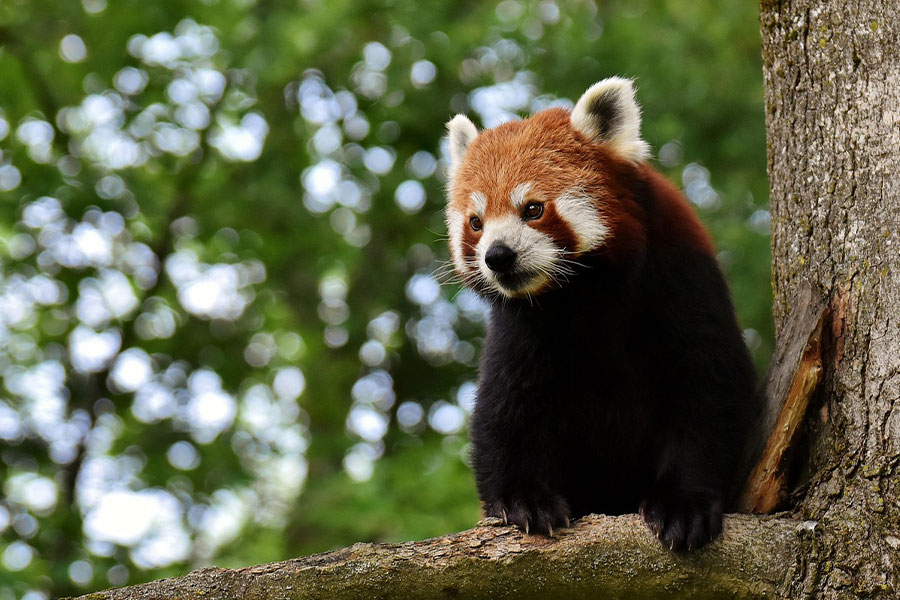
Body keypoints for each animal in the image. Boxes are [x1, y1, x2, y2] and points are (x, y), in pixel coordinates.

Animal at [444, 78, 759, 551]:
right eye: (476, 222)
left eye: (533, 208)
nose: (497, 256)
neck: (583, 294)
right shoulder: (523, 325)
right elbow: (505, 406)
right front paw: (525, 501)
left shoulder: (681, 279)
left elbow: (709, 386)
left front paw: (683, 505)